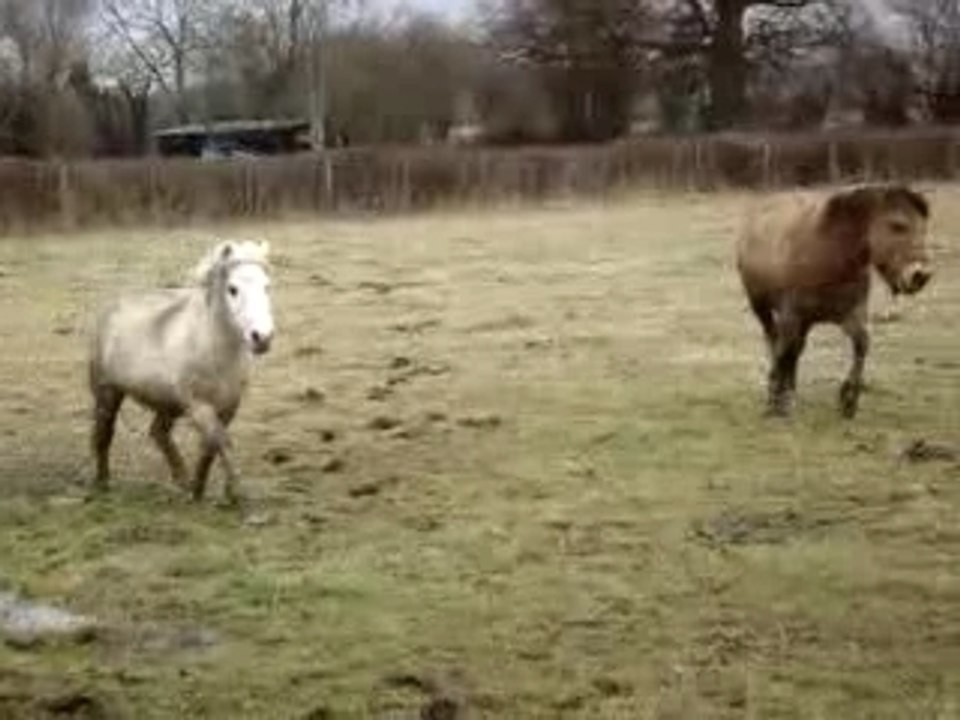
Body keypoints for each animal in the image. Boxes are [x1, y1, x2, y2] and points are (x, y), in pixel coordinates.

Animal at [88, 240, 275, 504]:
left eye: (267, 286)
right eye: (233, 289)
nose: (262, 338)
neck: (216, 352)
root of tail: (111, 309)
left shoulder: (229, 407)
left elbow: (209, 447)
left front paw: (198, 488)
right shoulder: (199, 406)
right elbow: (220, 441)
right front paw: (235, 493)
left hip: (168, 404)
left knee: (158, 432)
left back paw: (182, 479)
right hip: (108, 392)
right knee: (104, 433)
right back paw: (103, 481)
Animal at [736, 183, 933, 418]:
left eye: (924, 229)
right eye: (898, 226)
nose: (920, 276)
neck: (830, 253)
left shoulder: (851, 315)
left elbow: (862, 345)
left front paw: (848, 399)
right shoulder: (791, 316)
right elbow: (783, 352)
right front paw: (775, 400)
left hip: (805, 322)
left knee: (795, 349)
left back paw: (791, 392)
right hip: (762, 308)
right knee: (776, 342)